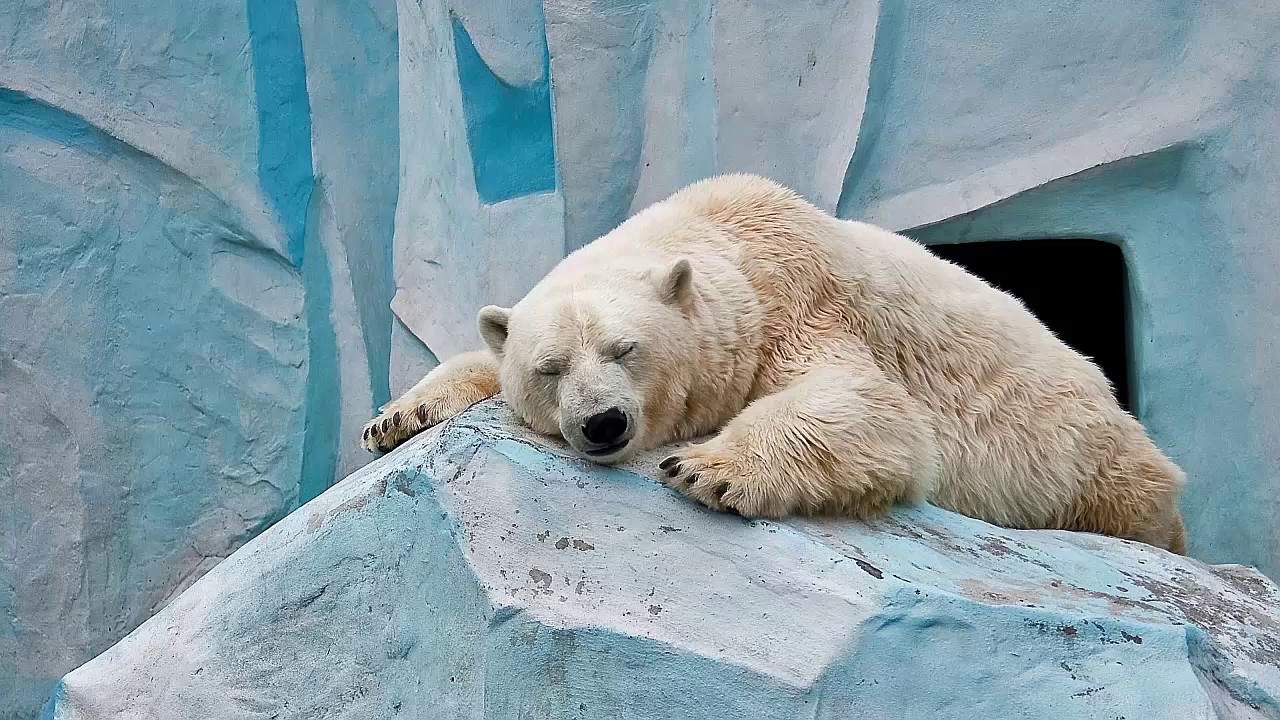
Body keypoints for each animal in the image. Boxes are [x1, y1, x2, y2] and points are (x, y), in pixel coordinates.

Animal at [366, 172, 1182, 548]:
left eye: (625, 348)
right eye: (551, 367)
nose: (603, 425)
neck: (721, 234)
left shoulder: (801, 300)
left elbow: (873, 407)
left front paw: (706, 468)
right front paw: (396, 418)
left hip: (1090, 462)